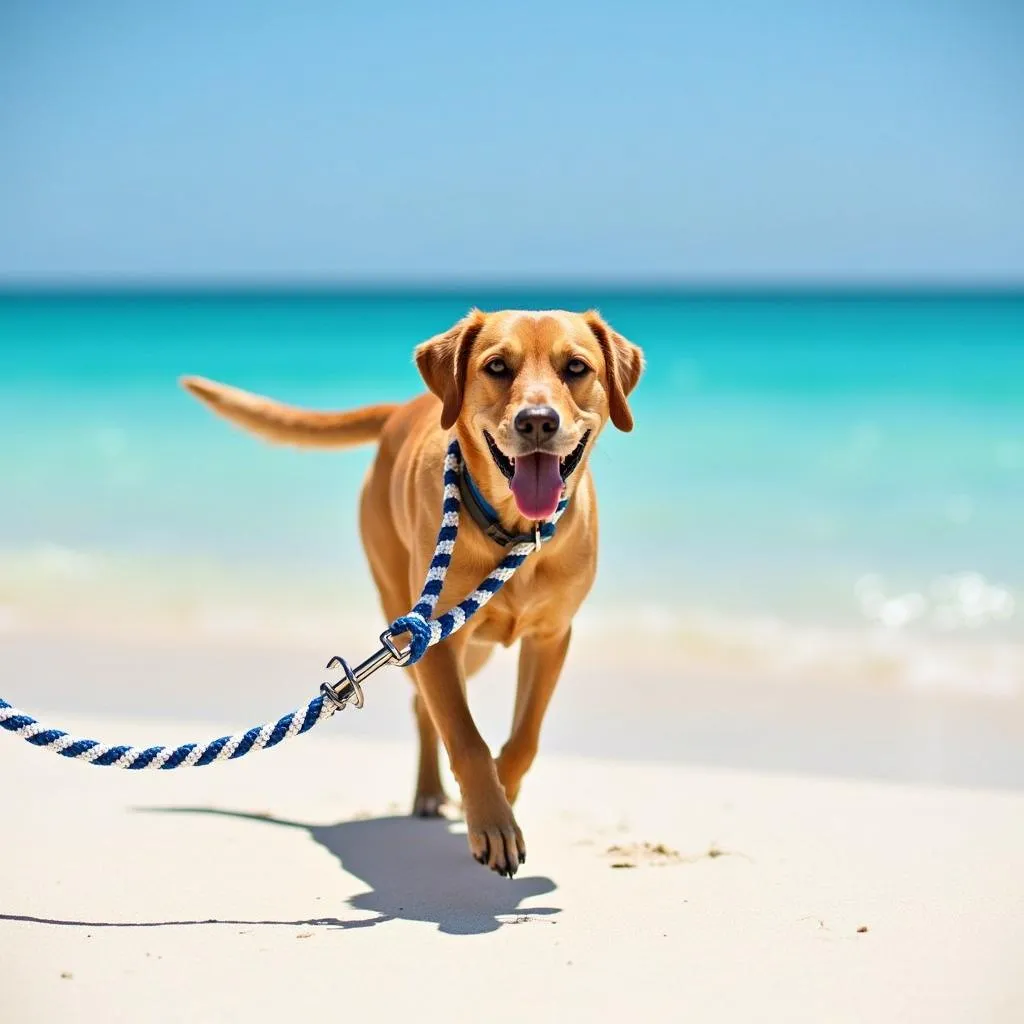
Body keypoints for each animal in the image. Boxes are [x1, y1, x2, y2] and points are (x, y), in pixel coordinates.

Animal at [184, 307, 638, 876]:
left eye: (576, 367)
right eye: (497, 366)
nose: (537, 420)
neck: (514, 534)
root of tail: (402, 408)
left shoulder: (551, 637)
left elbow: (523, 740)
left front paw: (502, 794)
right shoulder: (436, 636)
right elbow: (465, 737)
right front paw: (492, 822)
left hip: (472, 651)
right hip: (410, 624)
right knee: (425, 710)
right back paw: (427, 794)